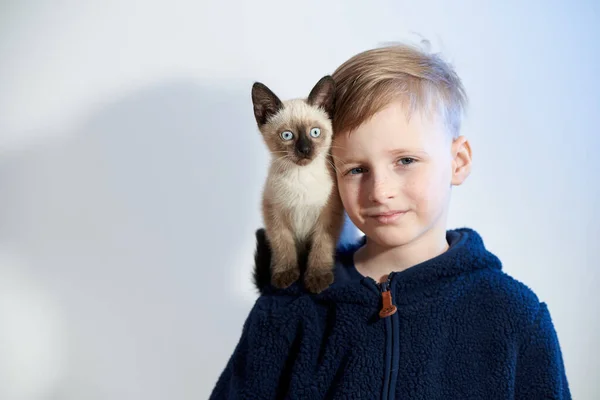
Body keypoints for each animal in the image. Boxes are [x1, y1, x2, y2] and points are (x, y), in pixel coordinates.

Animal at [251, 76, 344, 294]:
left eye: (315, 132)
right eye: (287, 135)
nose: (304, 149)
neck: (301, 179)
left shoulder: (328, 217)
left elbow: (321, 248)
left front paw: (317, 278)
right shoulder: (274, 215)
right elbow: (283, 246)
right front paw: (285, 276)